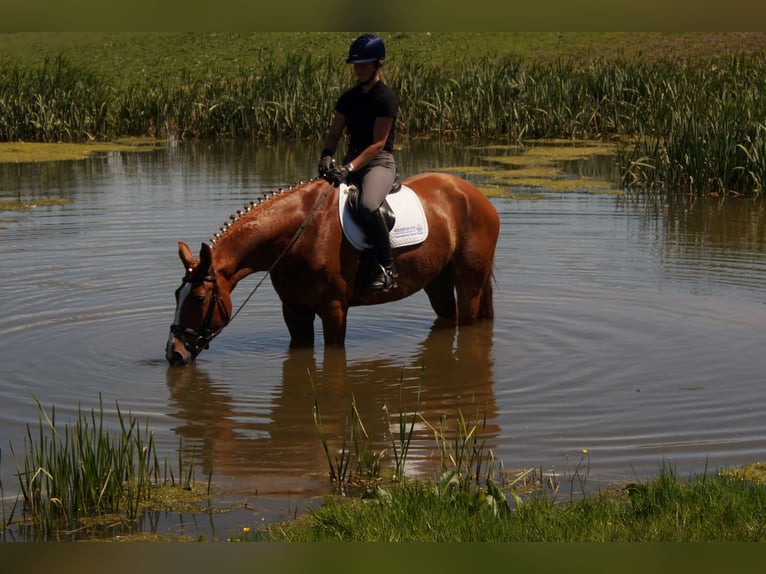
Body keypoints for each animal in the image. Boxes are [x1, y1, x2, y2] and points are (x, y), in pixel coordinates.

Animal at [167, 173, 500, 366]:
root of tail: (474, 194)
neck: (299, 234)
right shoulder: (294, 310)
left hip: (470, 280)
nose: (174, 353)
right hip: (437, 281)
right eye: (176, 295)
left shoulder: (334, 309)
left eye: (198, 298)